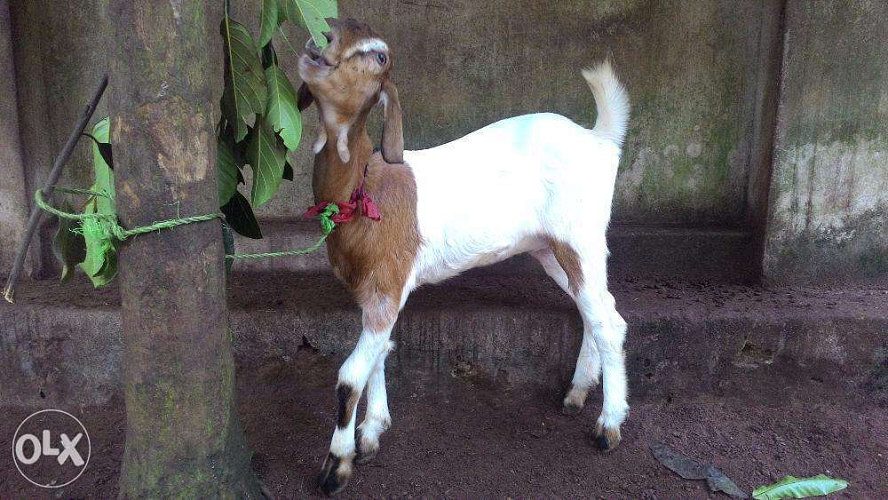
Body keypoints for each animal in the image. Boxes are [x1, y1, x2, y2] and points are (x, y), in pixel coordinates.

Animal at [297, 19, 631, 495]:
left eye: (380, 56)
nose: (319, 40)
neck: (363, 191)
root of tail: (599, 139)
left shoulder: (388, 284)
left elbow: (350, 376)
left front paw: (336, 466)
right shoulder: (371, 291)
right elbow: (378, 353)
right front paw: (372, 431)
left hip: (579, 237)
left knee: (608, 322)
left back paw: (609, 426)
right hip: (551, 247)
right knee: (597, 309)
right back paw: (578, 392)